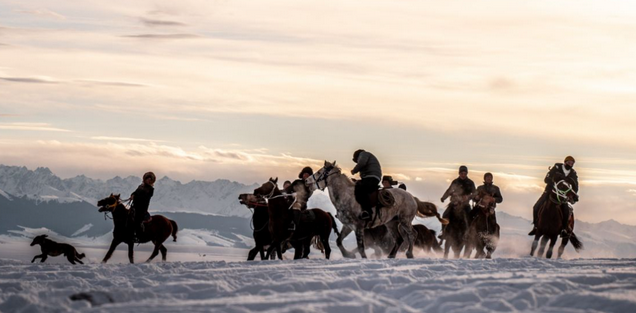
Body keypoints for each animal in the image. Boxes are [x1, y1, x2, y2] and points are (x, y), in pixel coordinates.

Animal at [304, 160, 432, 258]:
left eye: (319, 172)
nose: (306, 181)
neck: (346, 197)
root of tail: (412, 197)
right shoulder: (348, 226)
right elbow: (339, 241)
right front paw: (348, 254)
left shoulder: (358, 227)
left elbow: (361, 247)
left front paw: (363, 258)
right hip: (391, 223)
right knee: (399, 239)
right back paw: (391, 255)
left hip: (405, 221)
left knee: (412, 235)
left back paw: (409, 253)